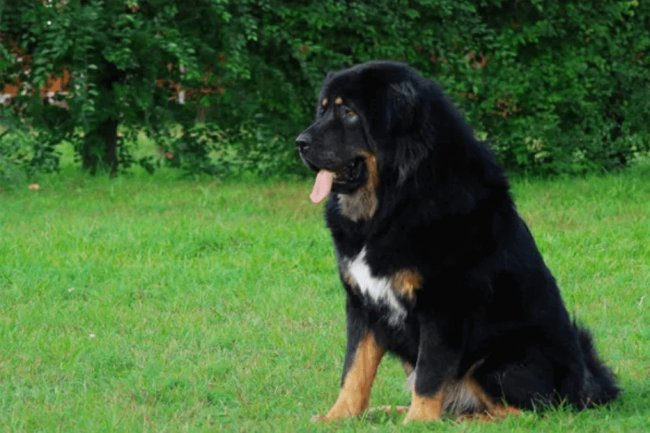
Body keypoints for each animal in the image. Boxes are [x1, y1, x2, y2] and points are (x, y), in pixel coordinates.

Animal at [294, 61, 616, 422]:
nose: (300, 142)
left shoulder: (443, 304)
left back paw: (461, 420)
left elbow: (429, 373)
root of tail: (585, 385)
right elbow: (354, 370)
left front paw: (417, 423)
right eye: (323, 110)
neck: (391, 203)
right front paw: (338, 416)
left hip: (499, 359)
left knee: (527, 410)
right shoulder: (362, 303)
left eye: (348, 112)